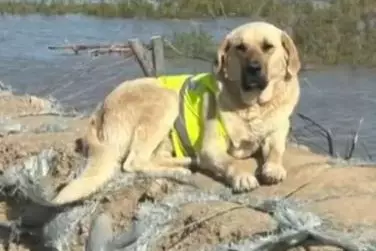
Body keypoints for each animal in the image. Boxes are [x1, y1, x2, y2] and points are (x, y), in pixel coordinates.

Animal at [51, 21, 302, 206]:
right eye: (240, 47)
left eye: (268, 47)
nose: (253, 69)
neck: (253, 105)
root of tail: (100, 108)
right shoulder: (211, 147)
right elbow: (230, 161)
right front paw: (241, 176)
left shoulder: (276, 134)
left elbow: (276, 150)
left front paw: (273, 167)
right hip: (167, 99)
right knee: (133, 162)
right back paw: (181, 171)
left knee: (149, 158)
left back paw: (186, 163)